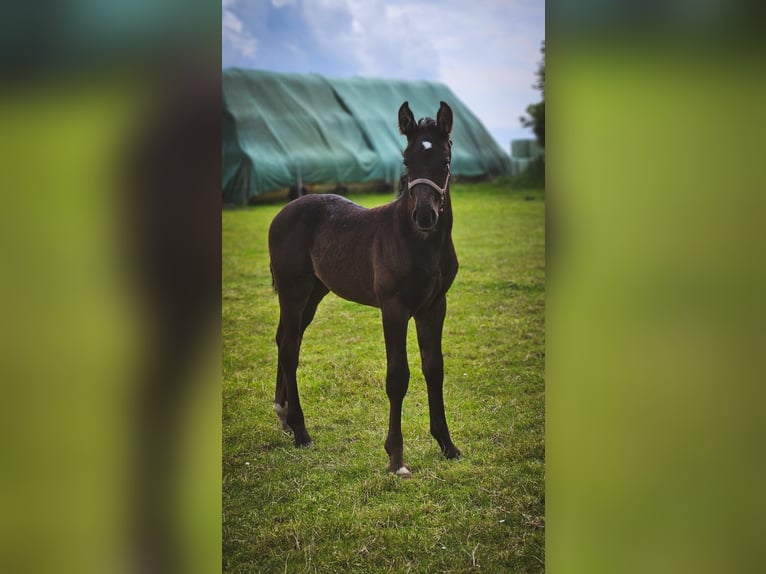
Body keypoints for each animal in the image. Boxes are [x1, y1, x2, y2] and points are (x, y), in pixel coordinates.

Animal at [270, 100, 462, 476]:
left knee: (286, 339)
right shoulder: (394, 308)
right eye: (407, 160)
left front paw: (447, 445)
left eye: (445, 161)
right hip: (293, 291)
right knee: (288, 348)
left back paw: (283, 415)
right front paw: (396, 458)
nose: (424, 216)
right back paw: (300, 431)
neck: (420, 243)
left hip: (314, 293)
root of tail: (284, 211)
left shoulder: (434, 306)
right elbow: (398, 377)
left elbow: (434, 369)